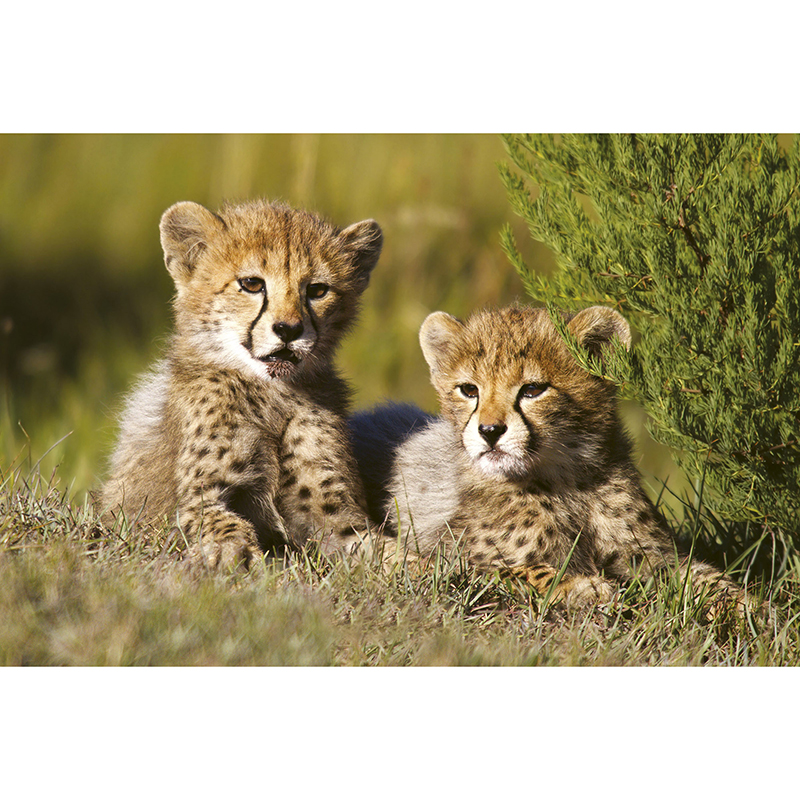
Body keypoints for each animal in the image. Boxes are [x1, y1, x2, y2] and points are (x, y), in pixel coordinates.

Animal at [100, 198, 385, 570]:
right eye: (252, 284)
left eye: (317, 290)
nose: (289, 329)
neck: (272, 393)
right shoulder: (199, 499)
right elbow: (223, 524)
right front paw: (233, 554)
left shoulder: (333, 516)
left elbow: (383, 549)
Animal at [350, 304, 747, 617]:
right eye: (469, 390)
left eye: (532, 390)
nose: (489, 431)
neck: (566, 479)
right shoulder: (451, 559)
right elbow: (522, 570)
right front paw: (578, 586)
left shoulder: (649, 556)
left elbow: (701, 575)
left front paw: (746, 606)